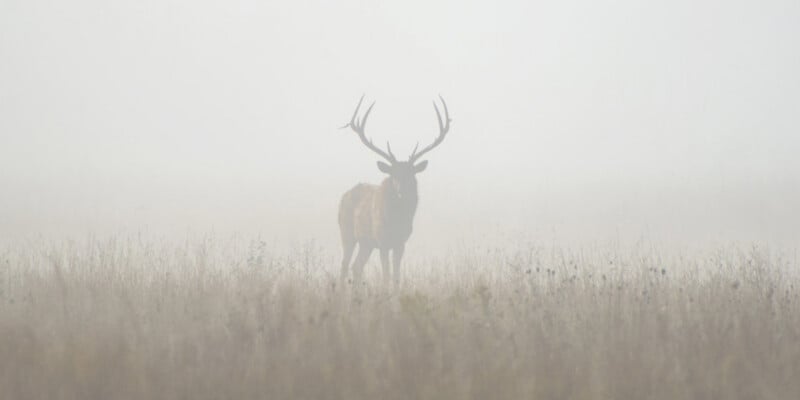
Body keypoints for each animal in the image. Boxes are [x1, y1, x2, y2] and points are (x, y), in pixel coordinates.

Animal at [338, 95, 452, 286]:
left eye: (411, 174)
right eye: (394, 175)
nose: (402, 190)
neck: (396, 220)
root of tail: (343, 197)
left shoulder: (401, 242)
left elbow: (397, 277)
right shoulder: (382, 240)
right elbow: (386, 276)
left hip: (366, 243)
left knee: (357, 267)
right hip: (346, 232)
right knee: (345, 265)